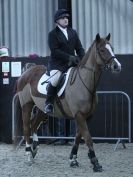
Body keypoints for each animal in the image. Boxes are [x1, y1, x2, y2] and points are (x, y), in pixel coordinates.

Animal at [15, 34, 121, 172]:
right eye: (102, 50)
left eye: (112, 48)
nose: (117, 66)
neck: (84, 83)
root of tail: (26, 72)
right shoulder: (79, 115)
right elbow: (88, 138)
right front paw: (95, 163)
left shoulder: (85, 116)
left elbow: (78, 137)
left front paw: (73, 159)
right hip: (26, 106)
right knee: (27, 127)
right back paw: (28, 153)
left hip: (42, 109)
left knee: (33, 125)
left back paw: (34, 150)